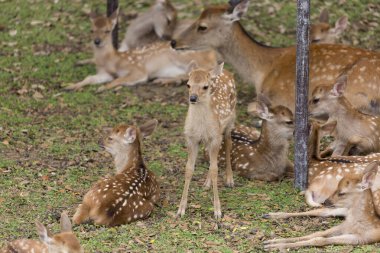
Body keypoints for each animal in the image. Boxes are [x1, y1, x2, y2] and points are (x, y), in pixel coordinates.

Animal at [65, 9, 217, 93]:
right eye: (91, 30)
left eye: (107, 31)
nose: (97, 41)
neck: (113, 60)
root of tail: (212, 53)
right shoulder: (104, 73)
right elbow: (89, 77)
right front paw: (70, 86)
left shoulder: (138, 70)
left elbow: (120, 79)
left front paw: (102, 88)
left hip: (182, 56)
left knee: (205, 71)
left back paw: (164, 80)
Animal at [177, 62, 236, 218]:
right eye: (188, 84)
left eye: (205, 86)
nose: (193, 98)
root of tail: (226, 71)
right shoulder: (191, 138)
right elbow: (189, 169)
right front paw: (181, 209)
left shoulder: (215, 136)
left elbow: (215, 169)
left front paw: (217, 211)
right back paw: (207, 183)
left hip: (230, 120)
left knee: (229, 143)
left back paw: (229, 179)